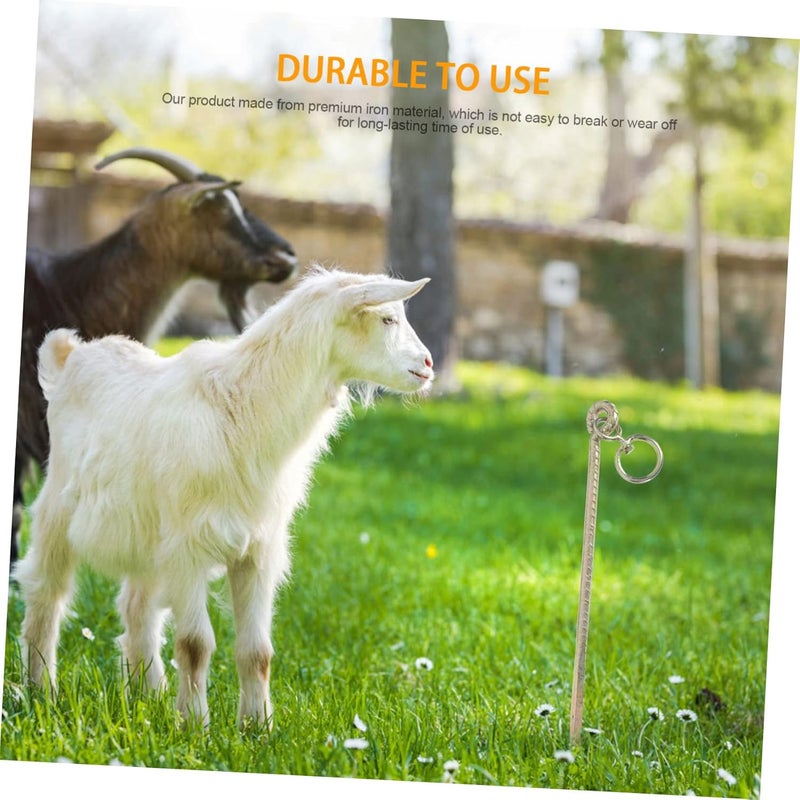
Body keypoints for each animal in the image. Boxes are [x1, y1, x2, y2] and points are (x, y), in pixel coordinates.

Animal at [14, 266, 434, 729]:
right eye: (387, 319)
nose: (428, 365)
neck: (240, 408)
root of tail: (72, 356)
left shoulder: (257, 550)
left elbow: (257, 652)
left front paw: (258, 728)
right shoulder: (187, 548)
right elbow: (195, 644)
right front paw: (195, 727)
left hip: (149, 535)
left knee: (137, 607)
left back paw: (149, 698)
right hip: (58, 509)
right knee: (46, 593)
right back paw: (40, 691)